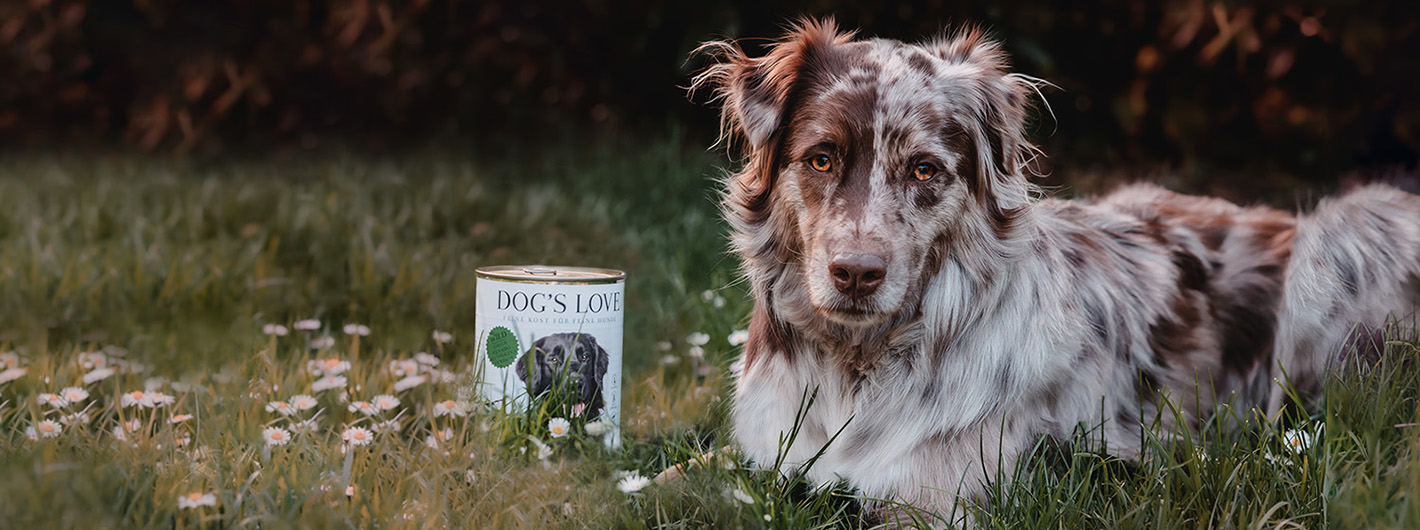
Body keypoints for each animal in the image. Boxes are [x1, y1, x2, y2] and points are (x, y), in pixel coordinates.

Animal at [690, 18, 1420, 522]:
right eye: (821, 158)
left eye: (924, 169)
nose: (856, 273)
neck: (855, 366)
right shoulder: (768, 455)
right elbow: (687, 476)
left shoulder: (932, 496)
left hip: (1344, 228)